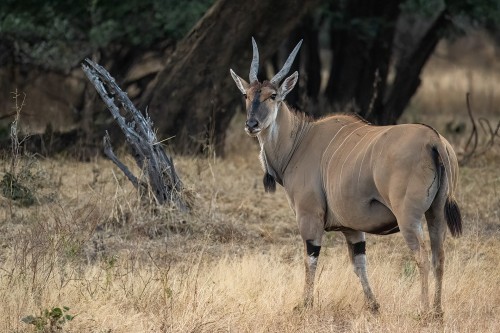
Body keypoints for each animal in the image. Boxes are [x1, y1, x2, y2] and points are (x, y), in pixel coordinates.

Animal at [229, 37, 460, 316]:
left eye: (272, 96)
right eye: (247, 95)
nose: (251, 124)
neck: (299, 140)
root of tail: (433, 139)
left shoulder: (309, 217)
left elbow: (310, 260)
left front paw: (304, 304)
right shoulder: (353, 229)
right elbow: (359, 264)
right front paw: (373, 305)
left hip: (409, 218)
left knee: (422, 257)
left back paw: (423, 312)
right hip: (435, 214)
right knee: (439, 257)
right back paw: (437, 312)